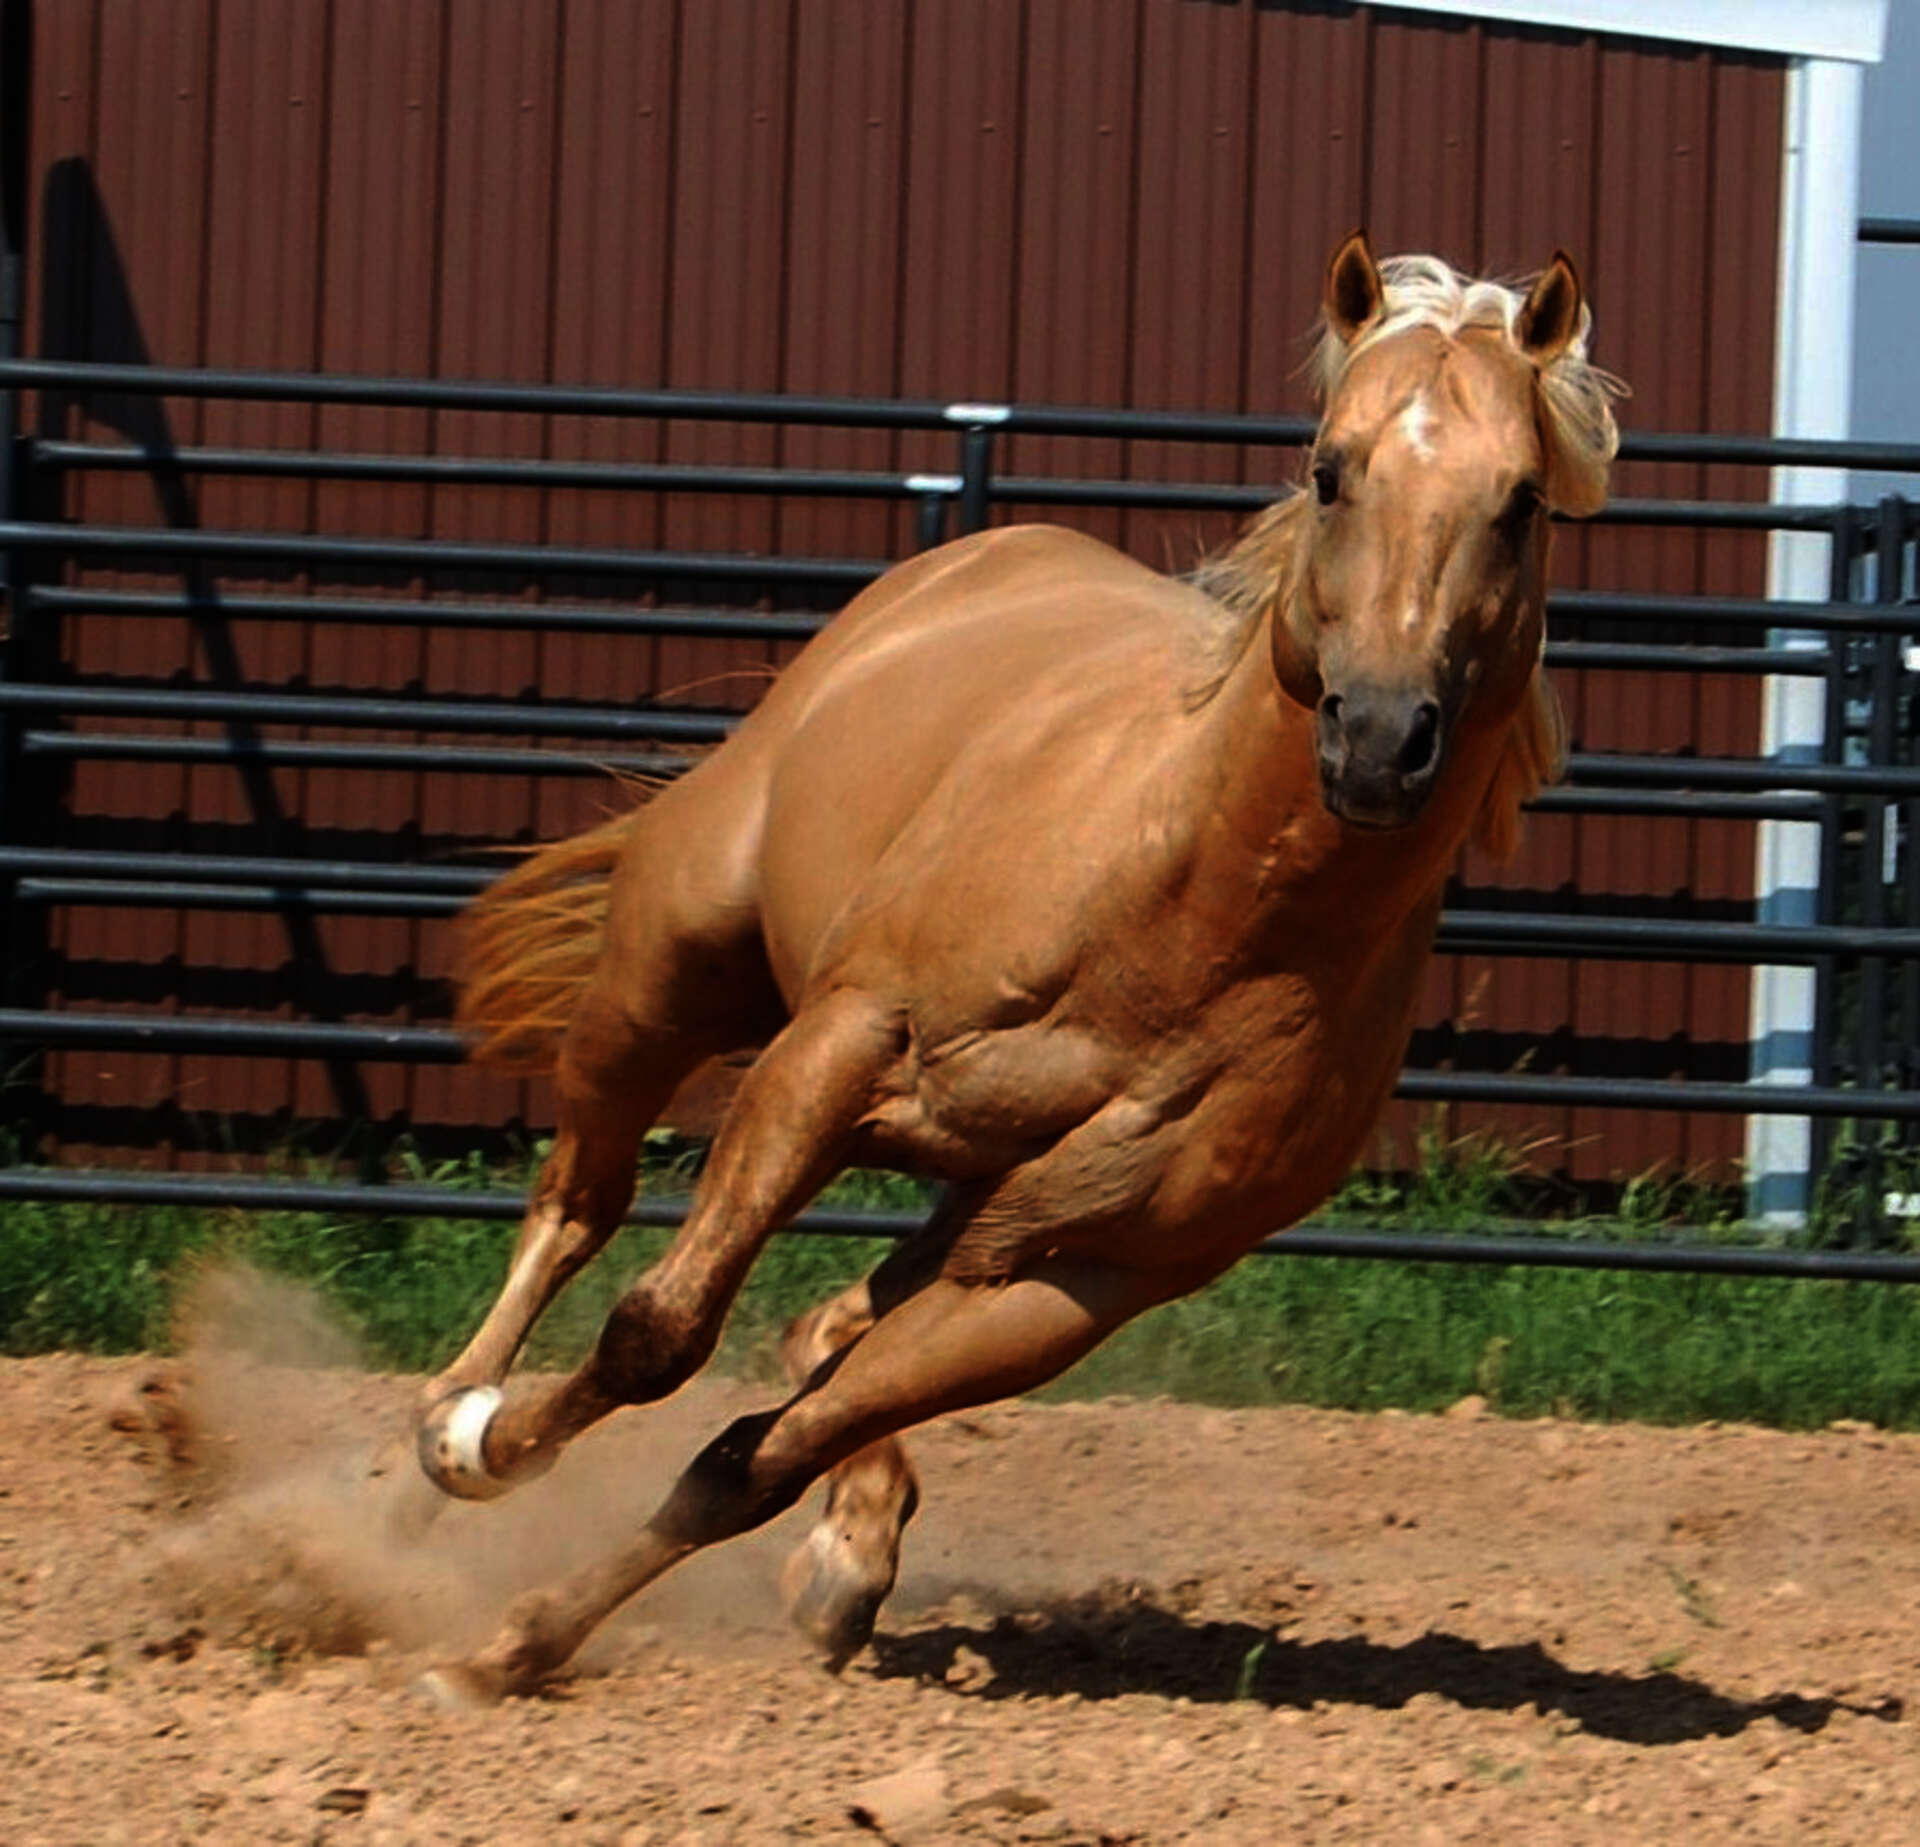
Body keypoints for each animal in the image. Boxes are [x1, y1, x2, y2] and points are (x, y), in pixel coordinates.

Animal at [409, 233, 1622, 1706]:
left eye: (1521, 501)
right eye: (1333, 466)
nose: (1382, 737)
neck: (1190, 911)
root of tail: (976, 561)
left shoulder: (1067, 1280)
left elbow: (753, 1456)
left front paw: (520, 1639)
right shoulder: (834, 1053)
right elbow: (660, 1330)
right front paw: (489, 1456)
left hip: (966, 1201)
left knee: (826, 1331)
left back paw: (839, 1554)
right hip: (670, 963)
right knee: (577, 1200)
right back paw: (441, 1433)